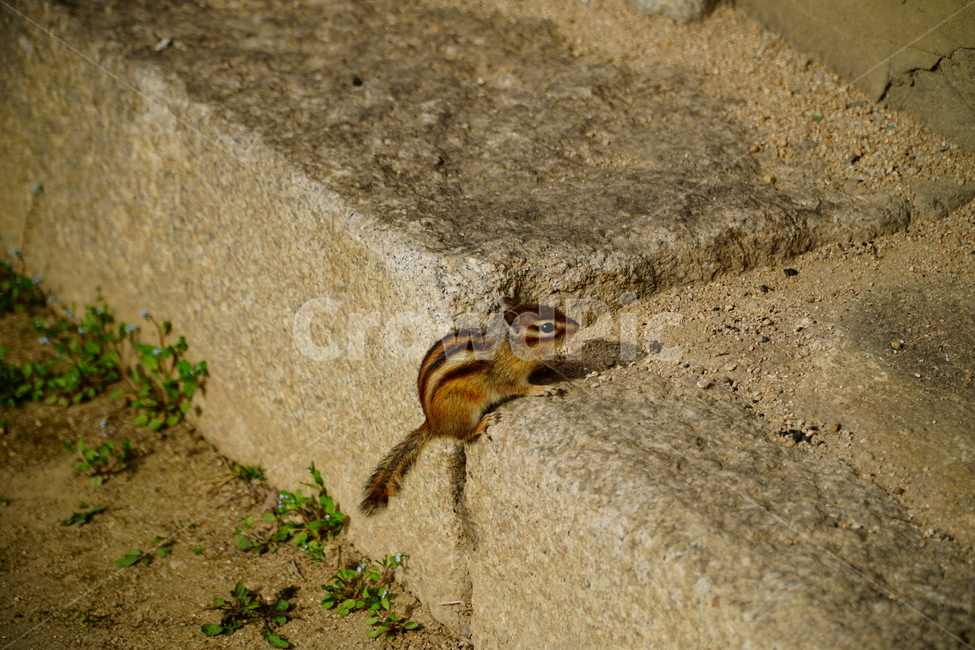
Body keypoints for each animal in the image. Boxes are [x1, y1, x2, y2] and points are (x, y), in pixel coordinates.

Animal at [359, 297, 579, 515]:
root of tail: (433, 424)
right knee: (463, 435)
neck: (506, 347)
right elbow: (520, 388)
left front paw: (546, 368)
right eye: (547, 327)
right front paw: (543, 389)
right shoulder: (505, 378)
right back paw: (483, 423)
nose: (576, 326)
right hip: (464, 409)